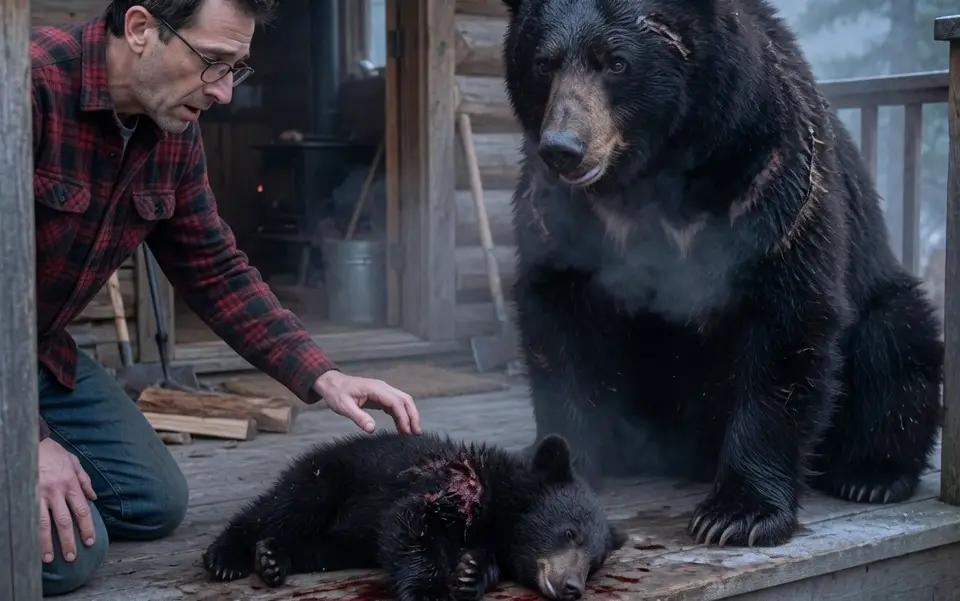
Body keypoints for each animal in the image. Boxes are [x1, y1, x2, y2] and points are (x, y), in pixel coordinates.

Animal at [201, 431, 627, 601]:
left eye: (596, 562)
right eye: (569, 533)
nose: (572, 587)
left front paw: (471, 573)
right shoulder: (454, 487)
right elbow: (413, 520)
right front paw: (430, 590)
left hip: (347, 538)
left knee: (326, 547)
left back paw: (274, 558)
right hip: (330, 475)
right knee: (284, 507)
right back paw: (226, 556)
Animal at [499, 0, 944, 549]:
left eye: (616, 62)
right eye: (544, 64)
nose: (564, 148)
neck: (651, 173)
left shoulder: (772, 176)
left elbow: (787, 319)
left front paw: (737, 514)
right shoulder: (561, 214)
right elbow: (559, 318)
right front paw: (561, 464)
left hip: (883, 302)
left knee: (897, 343)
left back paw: (871, 475)